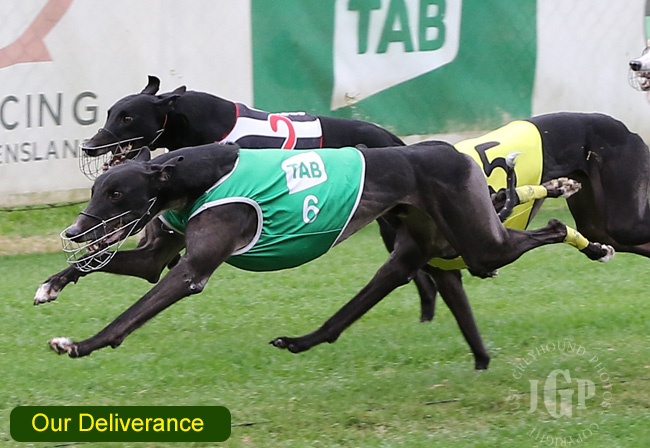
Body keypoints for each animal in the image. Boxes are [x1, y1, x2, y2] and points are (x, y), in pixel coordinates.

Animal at [45, 142, 599, 365]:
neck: (195, 175)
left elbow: (130, 315)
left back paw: (588, 238)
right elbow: (109, 265)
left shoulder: (191, 271)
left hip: (478, 242)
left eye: (117, 193)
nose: (73, 229)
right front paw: (52, 284)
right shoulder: (155, 258)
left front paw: (79, 344)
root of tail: (453, 151)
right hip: (430, 244)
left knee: (546, 228)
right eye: (97, 190)